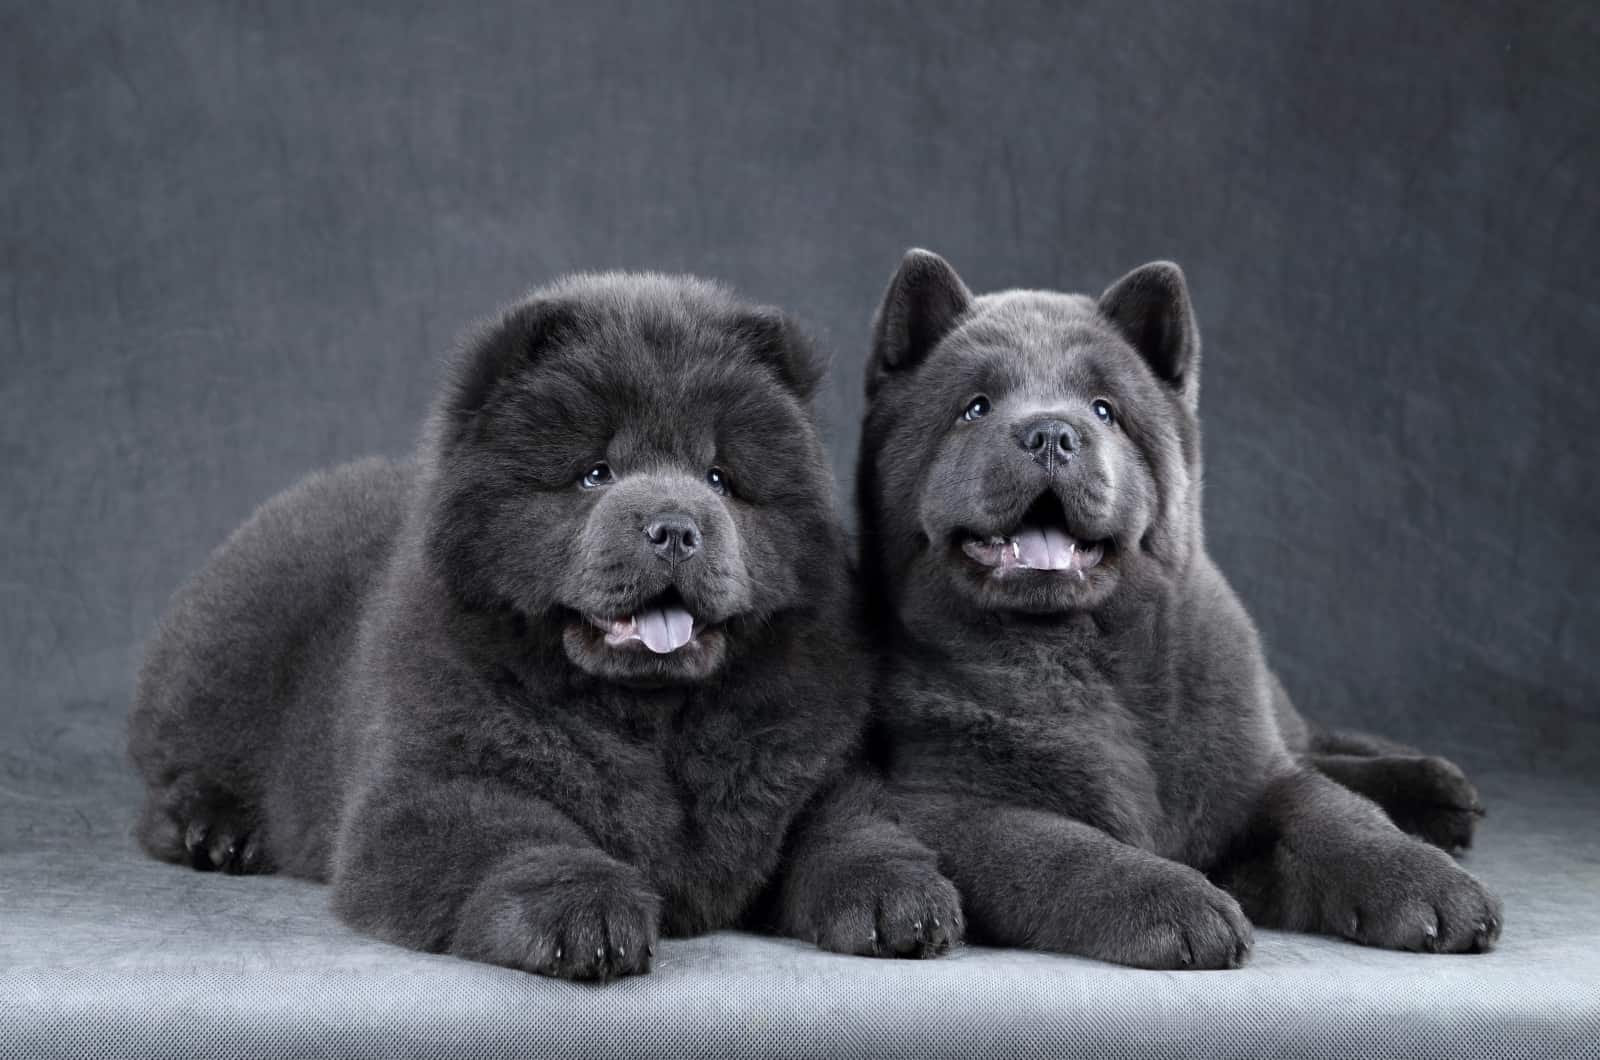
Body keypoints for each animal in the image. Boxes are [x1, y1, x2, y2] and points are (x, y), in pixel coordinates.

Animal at [131, 272, 953, 979]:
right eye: (595, 473)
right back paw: (218, 829)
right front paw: (585, 915)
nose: (676, 528)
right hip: (226, 653)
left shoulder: (815, 763)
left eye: (720, 479)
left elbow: (851, 824)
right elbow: (517, 836)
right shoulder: (431, 783)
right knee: (173, 772)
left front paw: (899, 898)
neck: (652, 717)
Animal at [864, 251, 1497, 973]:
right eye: (975, 407)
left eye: (1105, 410)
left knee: (1307, 744)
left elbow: (1331, 811)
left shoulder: (1253, 782)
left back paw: (1436, 787)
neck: (1076, 657)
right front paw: (1182, 906)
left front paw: (1429, 883)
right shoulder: (946, 804)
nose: (1052, 433)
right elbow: (1065, 847)